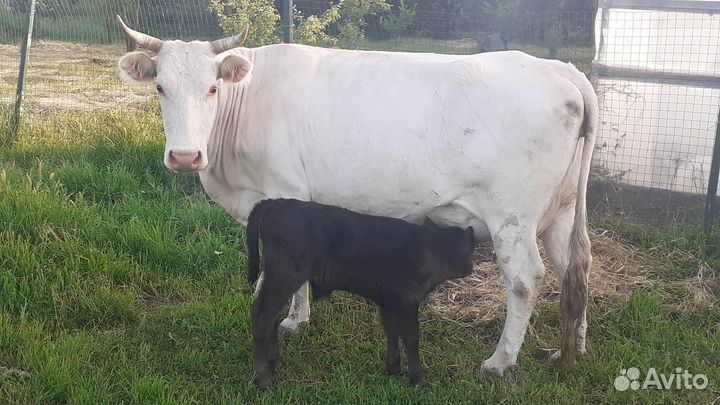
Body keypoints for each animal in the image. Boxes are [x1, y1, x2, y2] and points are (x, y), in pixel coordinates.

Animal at [245, 198, 475, 387]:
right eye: (468, 251)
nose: (470, 268)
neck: (432, 251)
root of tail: (275, 203)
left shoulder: (390, 300)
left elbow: (392, 330)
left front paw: (394, 368)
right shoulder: (408, 300)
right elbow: (410, 336)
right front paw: (418, 379)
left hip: (279, 278)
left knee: (271, 316)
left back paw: (275, 362)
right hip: (284, 275)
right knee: (262, 316)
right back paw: (262, 378)